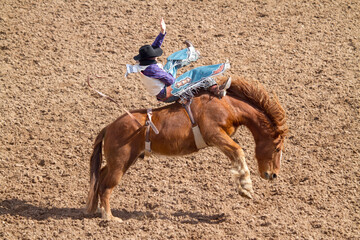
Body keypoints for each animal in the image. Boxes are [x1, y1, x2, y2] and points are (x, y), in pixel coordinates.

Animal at [86, 76, 288, 221]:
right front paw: (246, 188)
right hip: (120, 164)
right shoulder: (214, 135)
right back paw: (110, 218)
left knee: (100, 177)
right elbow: (238, 151)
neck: (227, 104)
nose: (274, 175)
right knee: (106, 187)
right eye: (278, 149)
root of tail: (109, 127)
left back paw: (94, 209)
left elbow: (235, 153)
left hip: (121, 161)